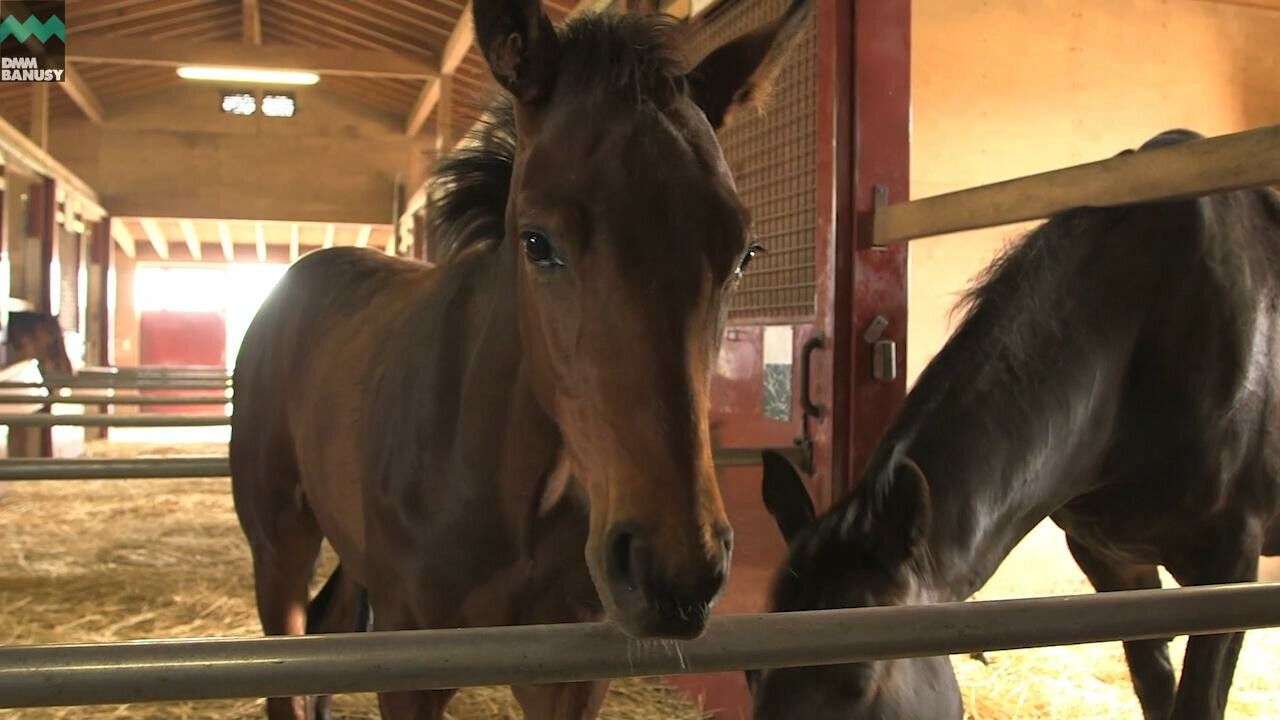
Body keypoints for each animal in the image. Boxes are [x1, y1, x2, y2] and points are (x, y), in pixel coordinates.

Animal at [230, 1, 808, 717]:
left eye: (743, 253)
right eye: (537, 242)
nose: (675, 573)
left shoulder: (567, 672)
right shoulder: (409, 661)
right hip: (278, 549)